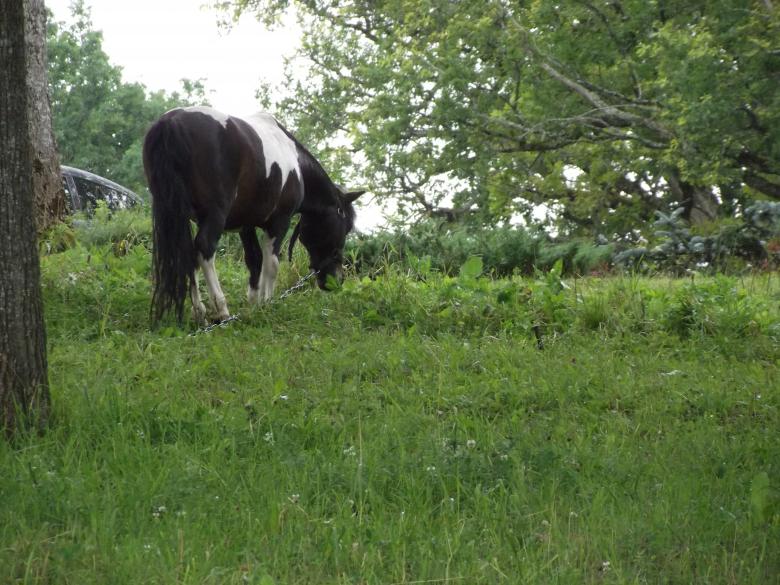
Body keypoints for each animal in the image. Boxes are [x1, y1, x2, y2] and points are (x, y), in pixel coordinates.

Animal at [142, 106, 364, 324]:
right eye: (345, 227)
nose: (337, 280)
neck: (296, 163)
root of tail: (171, 122)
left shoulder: (245, 225)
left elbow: (254, 260)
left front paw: (254, 304)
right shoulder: (279, 222)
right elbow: (272, 263)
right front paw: (267, 303)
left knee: (188, 253)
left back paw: (200, 313)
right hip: (215, 215)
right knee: (204, 249)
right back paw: (221, 310)